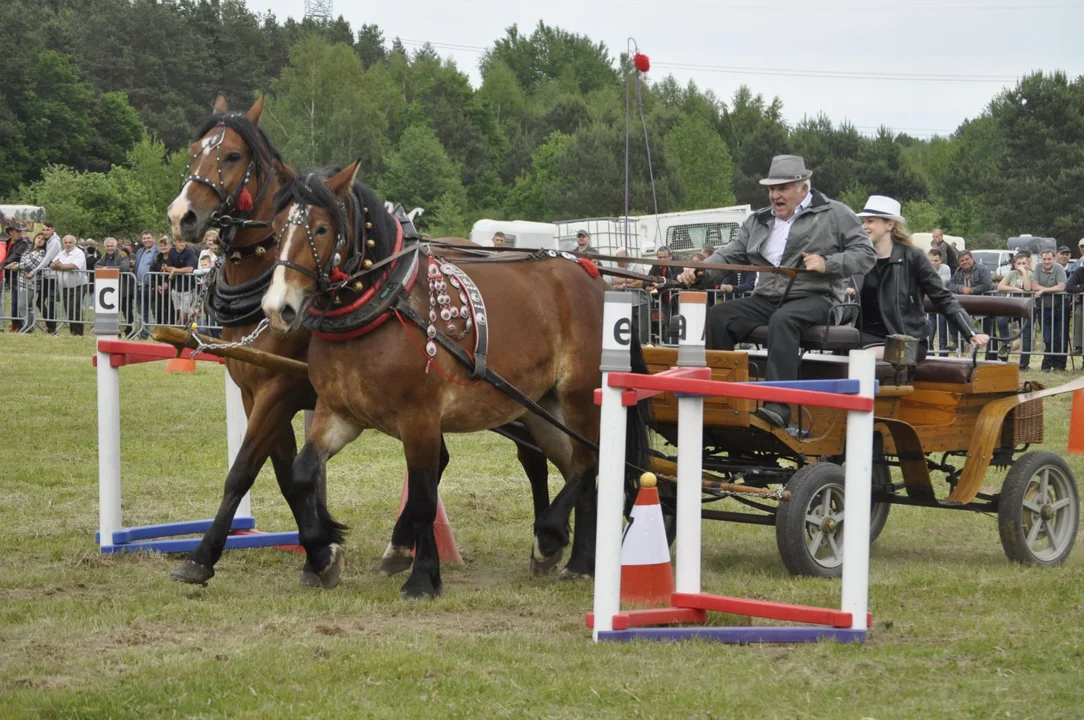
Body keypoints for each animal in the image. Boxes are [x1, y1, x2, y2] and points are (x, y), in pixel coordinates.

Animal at [164, 97, 555, 585]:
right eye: (194, 151)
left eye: (233, 156)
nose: (181, 217)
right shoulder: (256, 392)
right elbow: (284, 472)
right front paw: (319, 550)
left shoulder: (280, 390)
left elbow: (245, 471)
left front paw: (204, 556)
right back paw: (403, 544)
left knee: (535, 457)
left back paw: (546, 542)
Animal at [260, 165, 650, 598]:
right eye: (274, 230)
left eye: (322, 228)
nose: (278, 308)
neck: (384, 307)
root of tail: (600, 281)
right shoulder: (339, 414)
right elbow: (301, 475)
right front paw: (324, 554)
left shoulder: (420, 419)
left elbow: (423, 499)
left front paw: (422, 577)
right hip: (542, 408)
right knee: (579, 470)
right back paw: (581, 561)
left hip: (579, 397)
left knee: (589, 462)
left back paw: (550, 539)